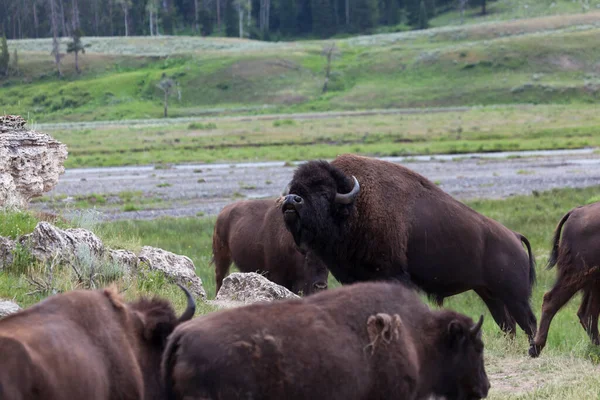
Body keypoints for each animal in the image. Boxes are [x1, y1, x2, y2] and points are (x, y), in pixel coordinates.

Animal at [282, 153, 540, 346]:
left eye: (323, 192)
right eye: (297, 188)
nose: (291, 201)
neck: (356, 207)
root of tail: (515, 236)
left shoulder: (392, 274)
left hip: (515, 295)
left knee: (528, 322)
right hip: (490, 293)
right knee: (508, 324)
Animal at [528, 202, 600, 358]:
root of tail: (575, 211)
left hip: (593, 282)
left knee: (587, 314)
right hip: (579, 275)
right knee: (551, 300)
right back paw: (535, 348)